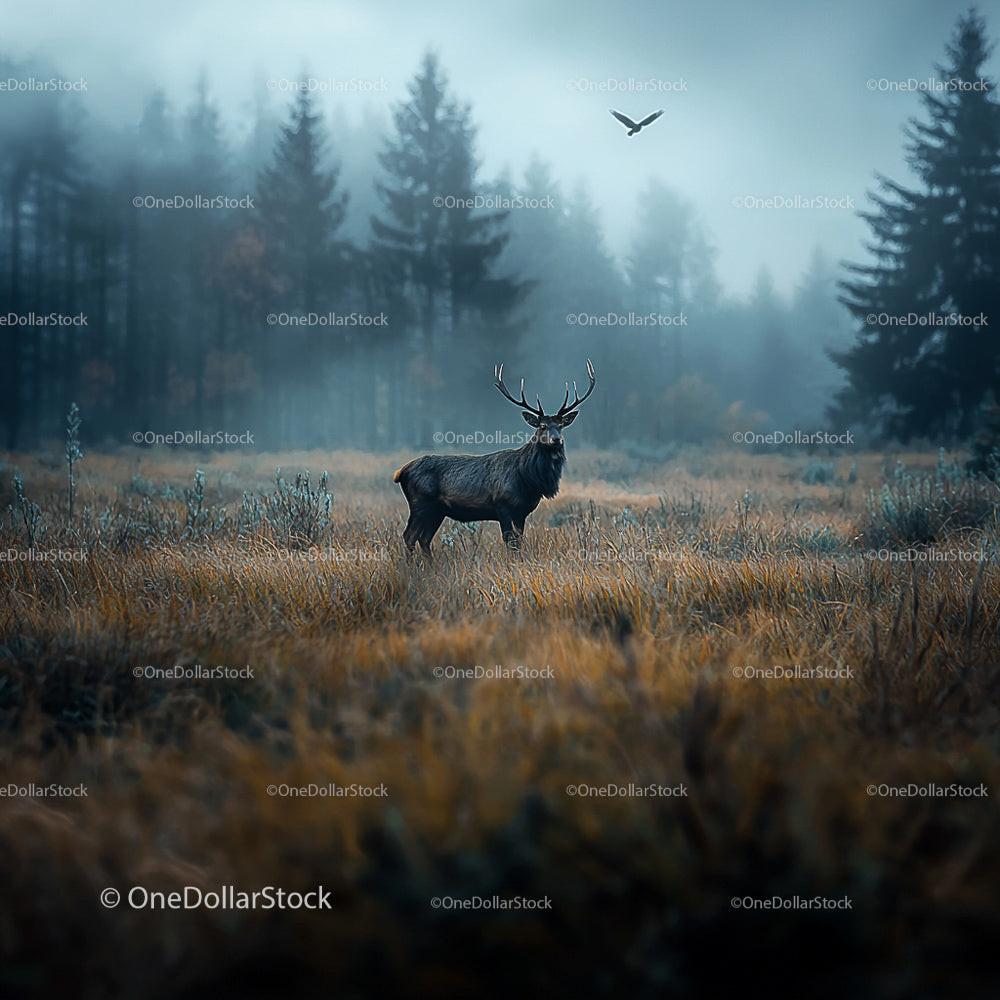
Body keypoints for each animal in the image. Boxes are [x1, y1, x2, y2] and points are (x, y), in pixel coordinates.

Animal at [393, 360, 596, 555]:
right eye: (542, 426)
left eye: (561, 426)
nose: (556, 439)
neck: (528, 480)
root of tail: (401, 472)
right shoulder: (503, 505)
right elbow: (509, 542)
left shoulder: (521, 512)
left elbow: (518, 542)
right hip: (420, 503)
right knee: (409, 536)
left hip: (437, 510)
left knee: (424, 539)